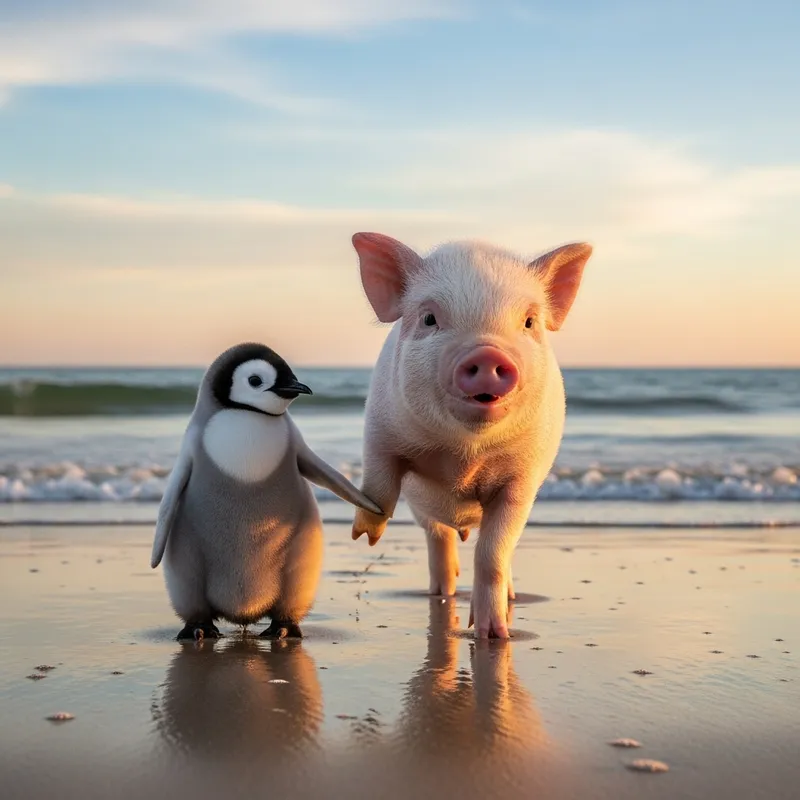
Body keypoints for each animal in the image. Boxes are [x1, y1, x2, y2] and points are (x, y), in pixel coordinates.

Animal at [350, 233, 592, 638]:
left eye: (529, 321)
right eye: (429, 318)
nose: (487, 352)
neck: (465, 455)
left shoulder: (522, 480)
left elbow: (494, 552)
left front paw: (492, 634)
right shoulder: (379, 427)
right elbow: (380, 479)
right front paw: (364, 536)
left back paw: (508, 602)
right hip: (424, 512)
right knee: (439, 540)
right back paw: (439, 593)